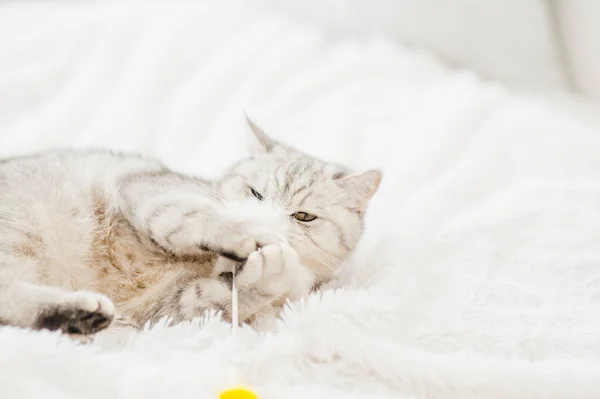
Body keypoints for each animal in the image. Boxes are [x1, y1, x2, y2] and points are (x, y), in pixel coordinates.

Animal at [0, 119, 382, 338]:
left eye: (303, 217)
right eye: (256, 194)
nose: (267, 222)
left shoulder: (165, 312)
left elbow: (221, 297)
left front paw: (272, 275)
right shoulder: (148, 192)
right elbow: (192, 218)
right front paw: (249, 234)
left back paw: (79, 316)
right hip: (22, 228)